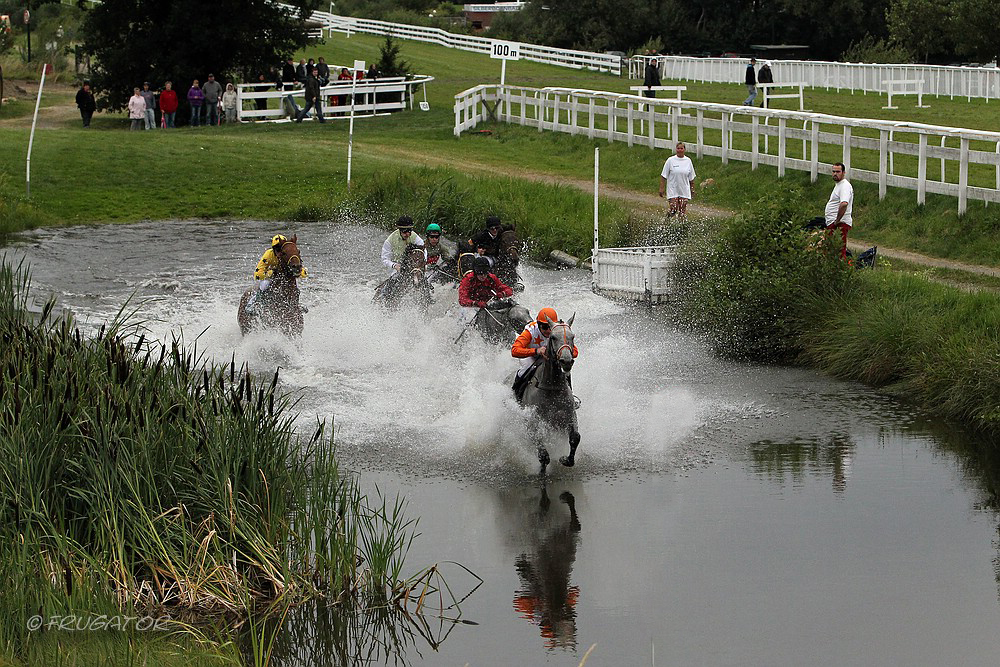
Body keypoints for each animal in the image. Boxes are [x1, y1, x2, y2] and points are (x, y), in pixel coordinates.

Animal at [516, 318, 580, 474]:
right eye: (553, 337)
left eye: (572, 337)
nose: (566, 361)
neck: (552, 387)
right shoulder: (533, 421)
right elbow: (543, 455)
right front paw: (542, 471)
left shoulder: (569, 415)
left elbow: (575, 437)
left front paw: (565, 459)